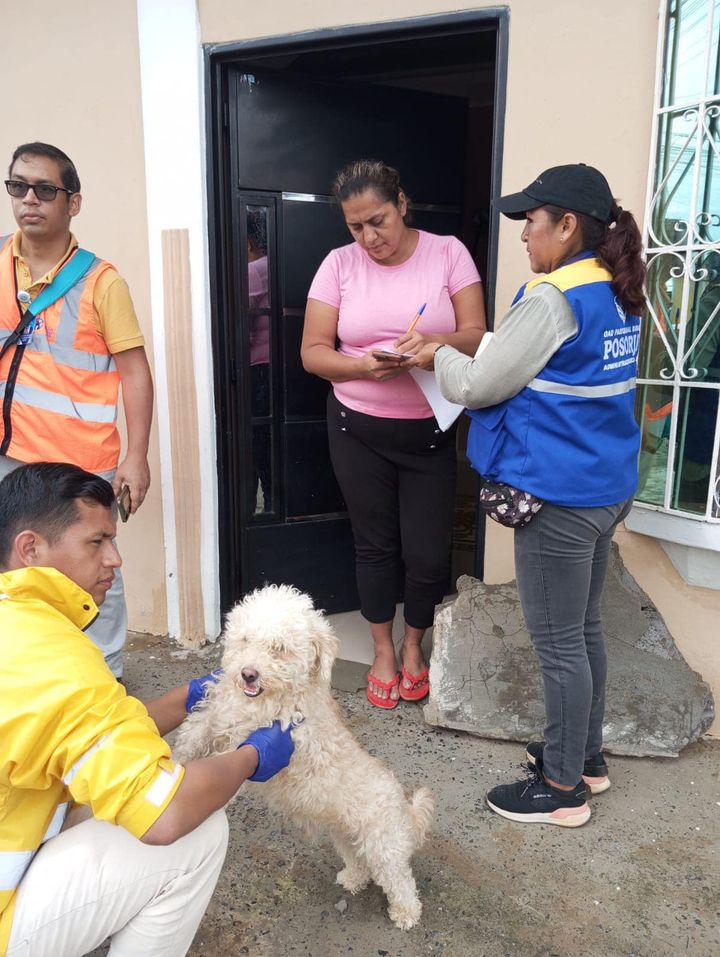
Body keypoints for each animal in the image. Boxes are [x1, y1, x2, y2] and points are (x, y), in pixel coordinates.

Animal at [173, 584, 433, 929]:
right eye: (245, 639)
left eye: (279, 648)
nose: (248, 674)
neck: (266, 700)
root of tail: (404, 808)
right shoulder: (216, 714)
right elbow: (192, 734)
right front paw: (171, 763)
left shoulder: (252, 744)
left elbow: (221, 766)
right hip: (346, 838)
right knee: (360, 864)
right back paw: (352, 879)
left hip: (383, 846)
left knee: (400, 881)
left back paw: (406, 914)